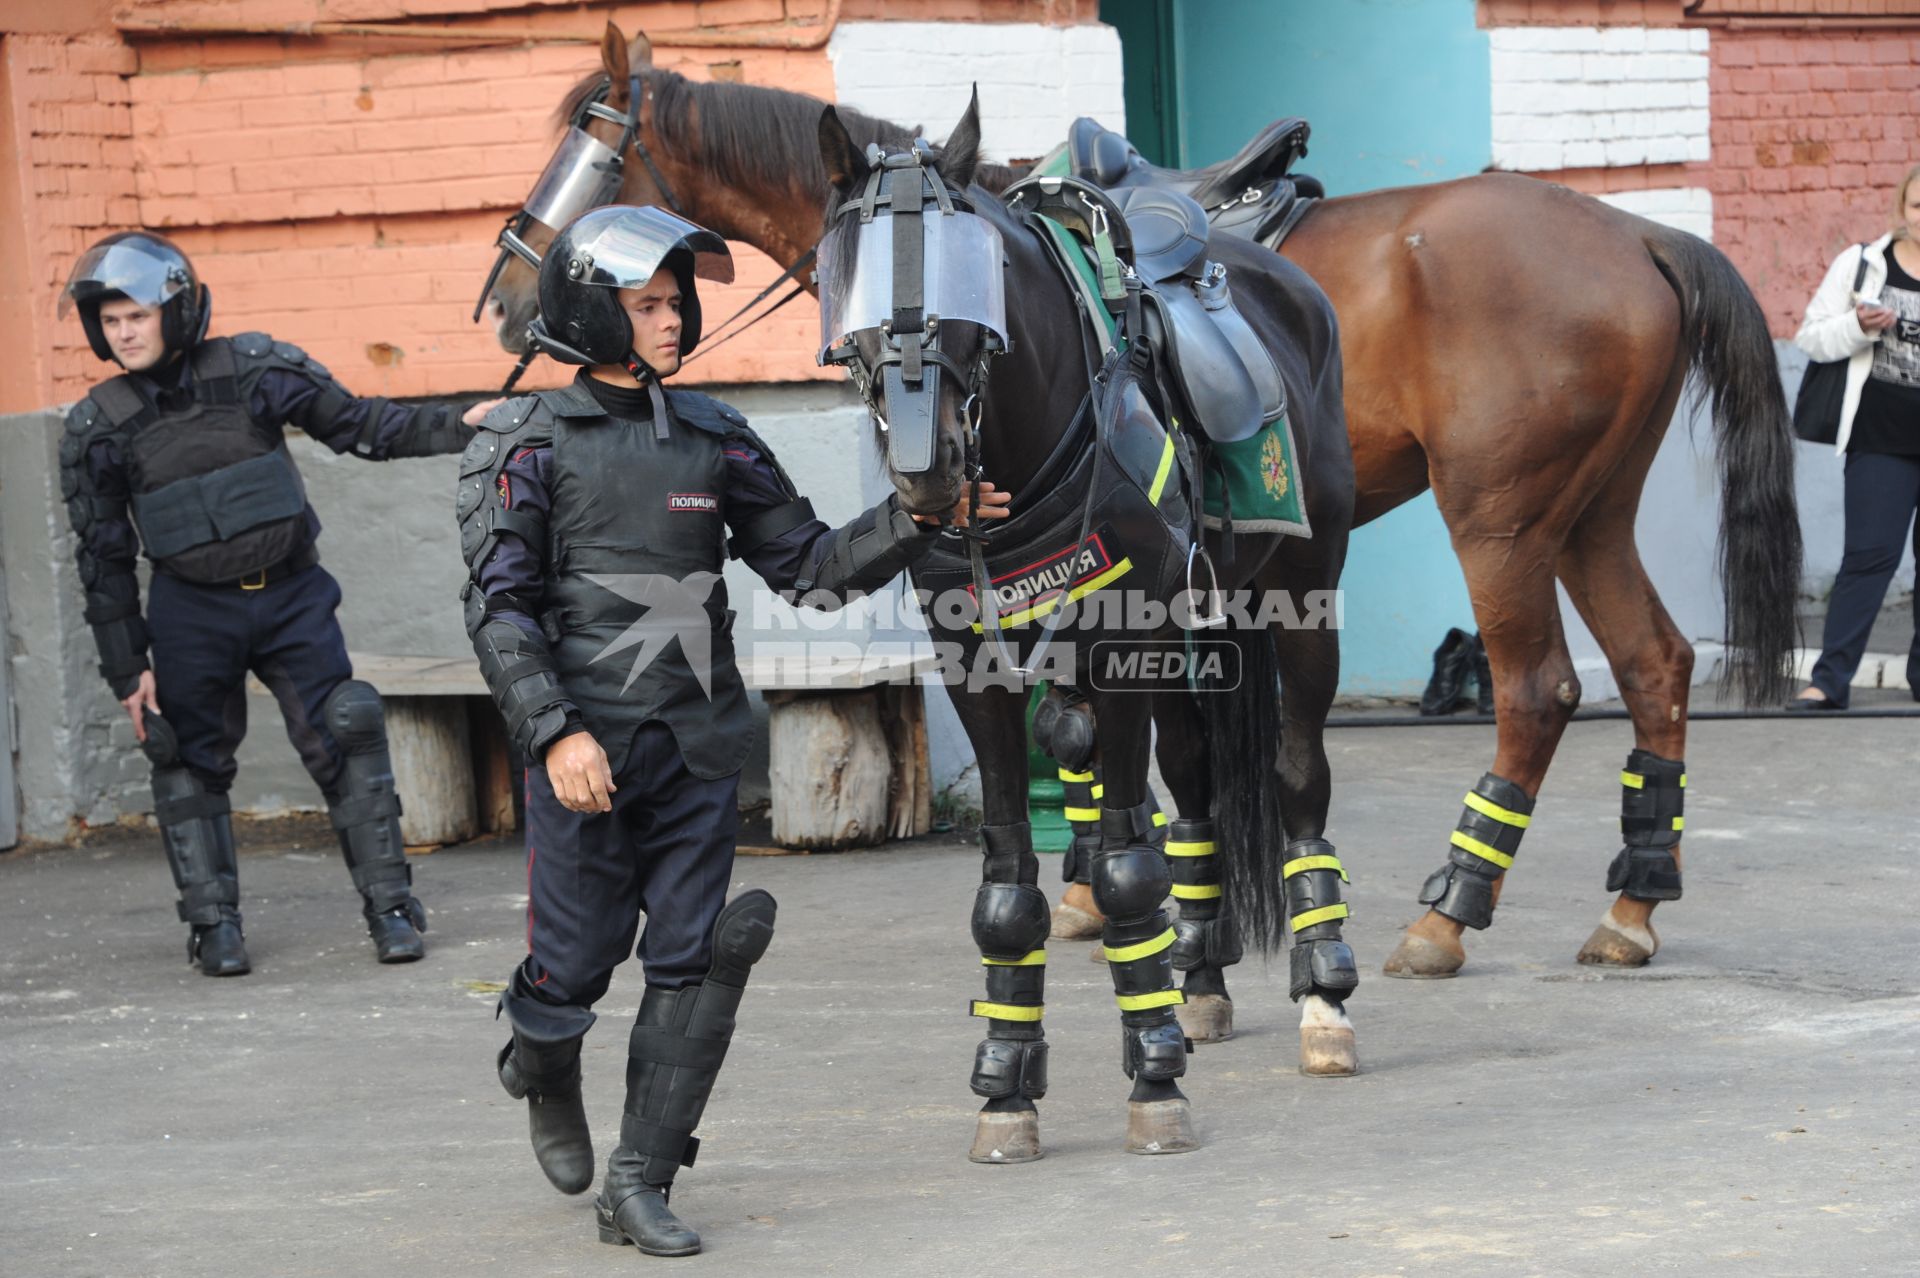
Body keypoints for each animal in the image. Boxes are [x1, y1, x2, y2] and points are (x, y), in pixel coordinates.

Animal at [483, 29, 1797, 978]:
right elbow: (1115, 742)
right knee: (1656, 663)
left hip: (1503, 522)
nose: (506, 298)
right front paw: (1131, 889)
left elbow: (1089, 736)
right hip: (1588, 513)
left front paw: (1104, 889)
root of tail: (1637, 231)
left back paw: (1454, 910)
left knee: (1539, 690)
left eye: (594, 159)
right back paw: (1632, 904)